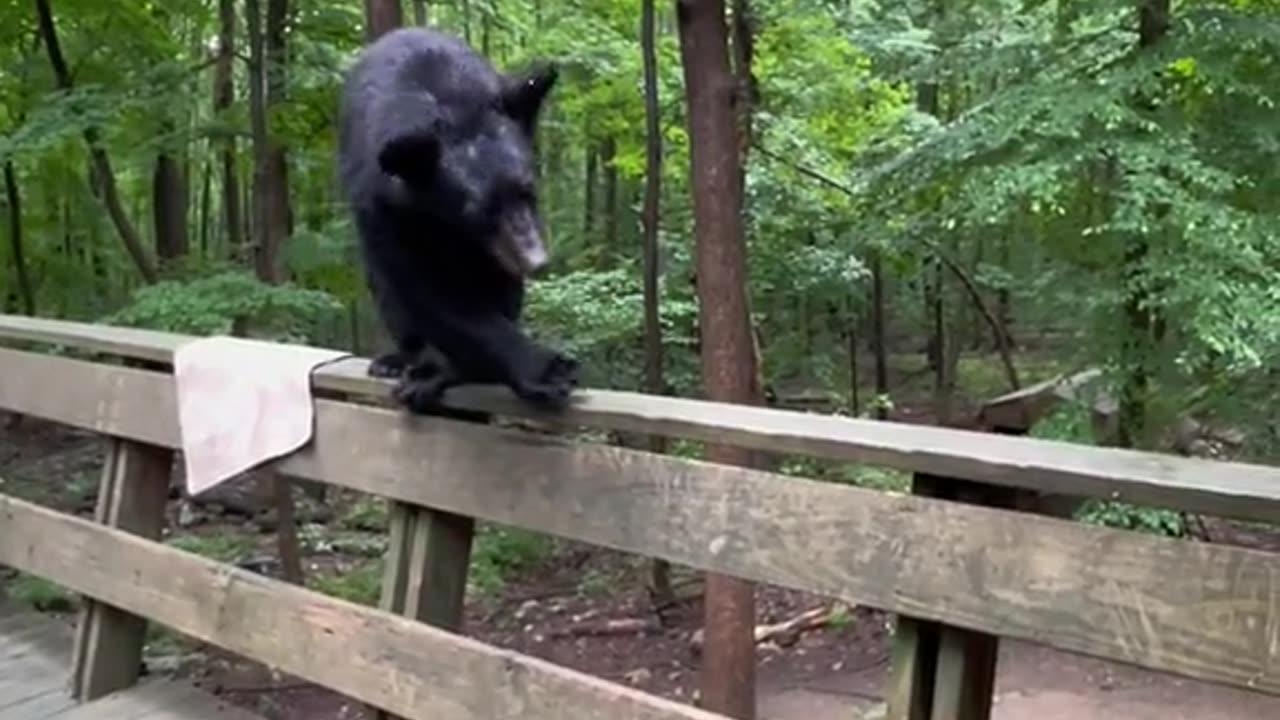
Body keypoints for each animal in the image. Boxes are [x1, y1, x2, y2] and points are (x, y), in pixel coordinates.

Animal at [340, 28, 581, 412]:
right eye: (482, 210)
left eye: (529, 190)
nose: (535, 259)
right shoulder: (381, 207)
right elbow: (431, 293)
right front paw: (546, 371)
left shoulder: (494, 250)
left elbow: (494, 288)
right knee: (387, 292)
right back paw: (400, 360)